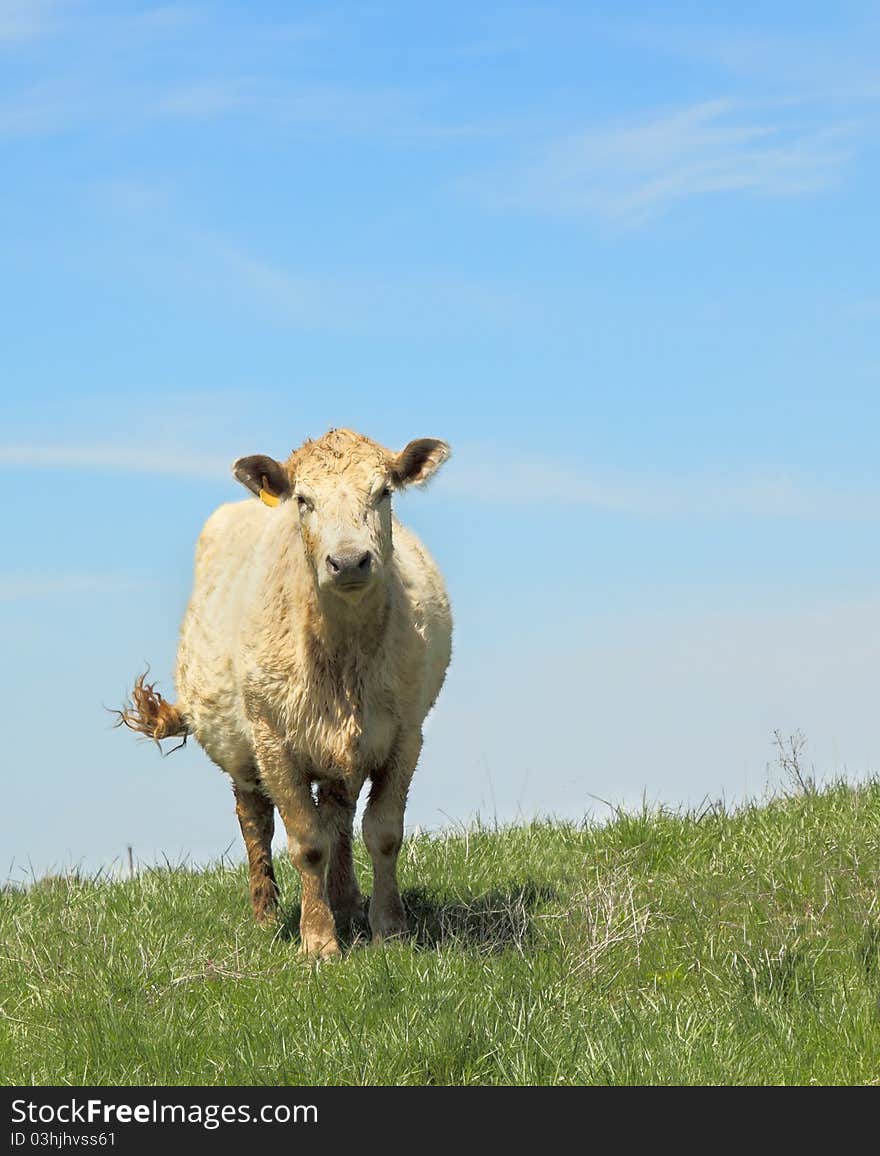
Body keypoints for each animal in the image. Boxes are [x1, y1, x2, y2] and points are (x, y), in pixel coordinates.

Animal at [115, 427, 453, 957]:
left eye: (383, 492)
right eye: (303, 500)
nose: (349, 561)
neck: (344, 654)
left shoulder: (406, 734)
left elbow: (382, 832)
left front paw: (389, 930)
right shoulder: (273, 741)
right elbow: (306, 842)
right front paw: (318, 941)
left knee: (337, 818)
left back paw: (347, 903)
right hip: (240, 747)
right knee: (257, 820)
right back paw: (267, 914)